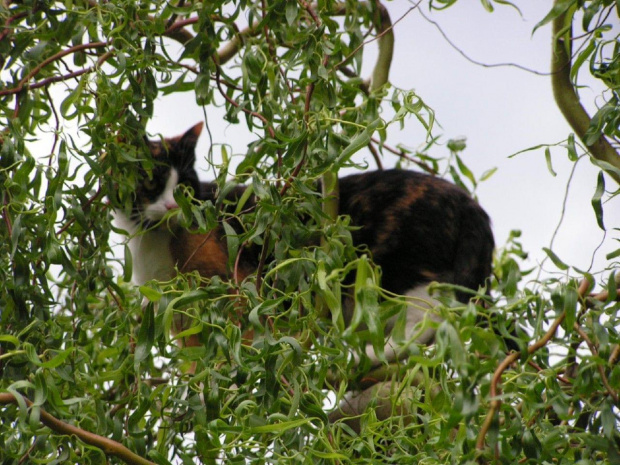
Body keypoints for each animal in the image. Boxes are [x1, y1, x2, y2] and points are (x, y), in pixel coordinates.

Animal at [114, 123, 496, 366]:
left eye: (185, 186)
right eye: (152, 181)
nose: (172, 207)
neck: (150, 239)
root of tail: (471, 206)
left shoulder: (233, 284)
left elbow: (239, 332)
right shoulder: (179, 313)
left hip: (387, 268)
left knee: (430, 315)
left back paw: (374, 355)